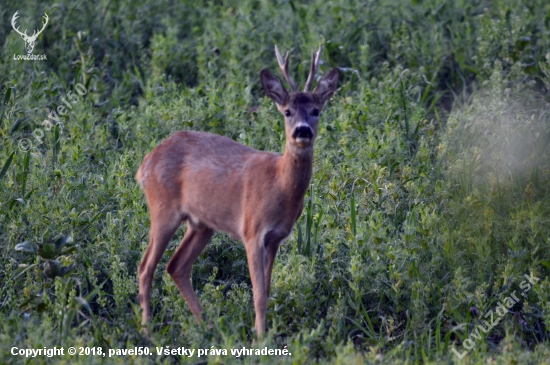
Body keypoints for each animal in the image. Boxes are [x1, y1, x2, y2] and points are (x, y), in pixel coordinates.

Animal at [137, 45, 340, 336]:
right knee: (146, 267)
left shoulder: (275, 238)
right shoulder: (252, 231)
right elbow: (258, 294)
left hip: (201, 224)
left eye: (316, 110)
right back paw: (148, 330)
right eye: (287, 111)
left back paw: (207, 326)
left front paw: (264, 332)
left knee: (176, 266)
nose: (302, 131)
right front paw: (260, 337)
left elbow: (267, 288)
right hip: (163, 209)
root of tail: (145, 164)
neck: (280, 186)